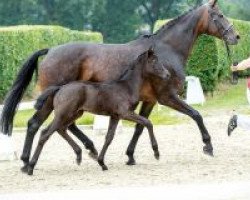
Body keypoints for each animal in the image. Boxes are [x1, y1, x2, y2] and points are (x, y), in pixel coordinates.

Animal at [26, 48, 170, 175]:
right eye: (154, 60)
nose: (167, 74)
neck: (126, 87)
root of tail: (59, 88)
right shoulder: (125, 113)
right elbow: (148, 122)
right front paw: (156, 153)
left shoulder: (115, 116)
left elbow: (109, 137)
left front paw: (102, 163)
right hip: (63, 114)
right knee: (45, 134)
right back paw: (30, 167)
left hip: (75, 114)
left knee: (61, 129)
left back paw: (78, 156)